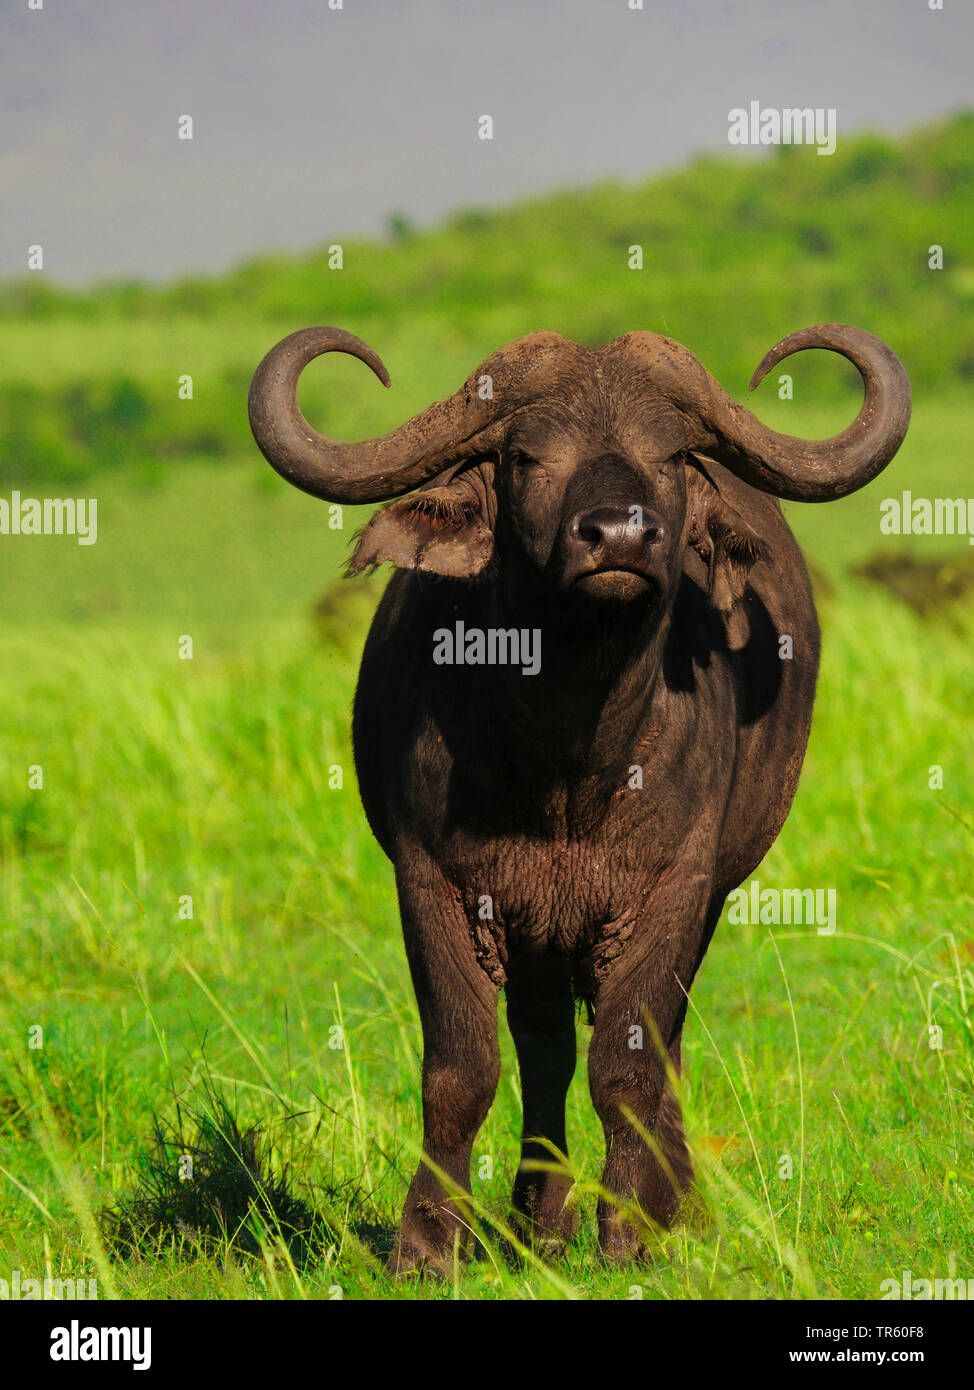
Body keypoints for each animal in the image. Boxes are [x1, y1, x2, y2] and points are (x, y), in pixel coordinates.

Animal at [247, 322, 905, 1273]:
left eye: (671, 454)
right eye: (526, 456)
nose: (619, 535)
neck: (567, 762)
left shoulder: (673, 888)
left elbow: (629, 1064)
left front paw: (630, 1229)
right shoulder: (434, 883)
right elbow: (462, 1066)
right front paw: (429, 1241)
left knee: (656, 1044)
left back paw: (669, 1206)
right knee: (545, 1049)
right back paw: (540, 1218)